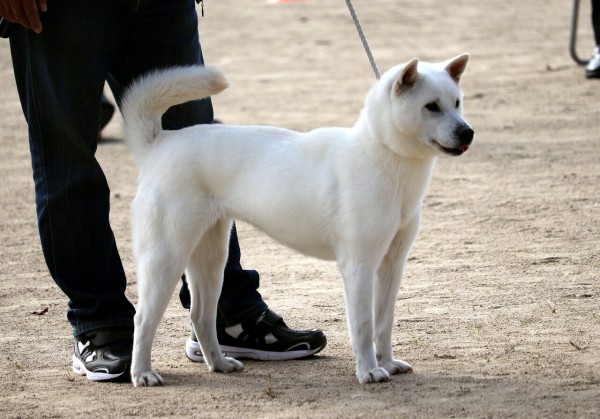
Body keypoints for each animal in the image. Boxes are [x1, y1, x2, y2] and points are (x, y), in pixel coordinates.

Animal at [123, 55, 474, 388]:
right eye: (431, 106)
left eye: (457, 102)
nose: (467, 132)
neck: (384, 153)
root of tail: (158, 143)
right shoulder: (359, 266)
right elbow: (363, 325)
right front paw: (369, 372)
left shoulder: (392, 265)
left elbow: (384, 323)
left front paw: (387, 364)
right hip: (166, 258)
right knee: (142, 320)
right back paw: (142, 374)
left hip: (212, 259)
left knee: (201, 317)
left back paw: (220, 364)